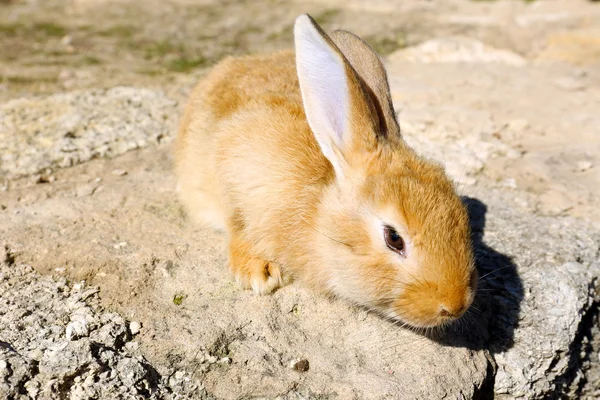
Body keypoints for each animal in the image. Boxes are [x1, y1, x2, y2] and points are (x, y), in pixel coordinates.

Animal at [173, 15, 478, 328]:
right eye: (394, 238)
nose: (455, 305)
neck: (317, 214)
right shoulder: (235, 170)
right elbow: (238, 225)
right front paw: (259, 272)